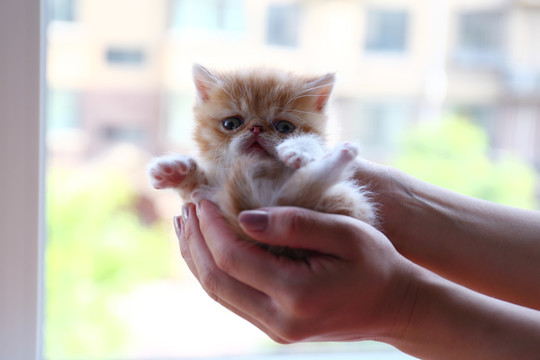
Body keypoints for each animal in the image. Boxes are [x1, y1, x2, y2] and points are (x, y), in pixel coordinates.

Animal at [148, 64, 376, 250]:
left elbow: (314, 143)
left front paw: (301, 149)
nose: (256, 128)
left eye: (285, 127)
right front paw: (174, 170)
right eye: (231, 123)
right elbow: (194, 187)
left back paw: (343, 154)